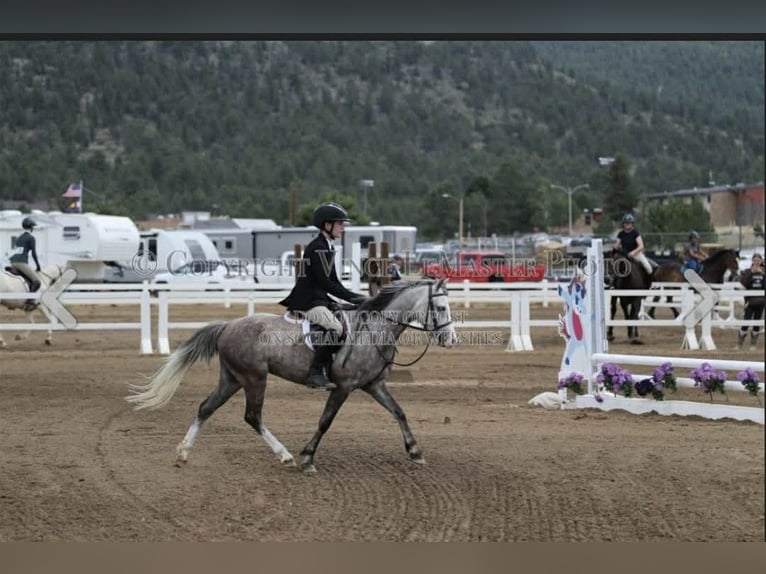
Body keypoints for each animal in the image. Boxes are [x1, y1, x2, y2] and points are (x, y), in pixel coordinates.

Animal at [126, 278, 457, 474]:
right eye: (441, 307)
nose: (451, 340)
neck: (375, 330)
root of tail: (228, 326)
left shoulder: (373, 385)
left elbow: (399, 412)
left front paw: (415, 452)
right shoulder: (343, 387)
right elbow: (325, 421)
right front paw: (308, 458)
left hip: (232, 379)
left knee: (206, 408)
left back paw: (183, 453)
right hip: (254, 378)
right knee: (252, 416)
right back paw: (284, 455)